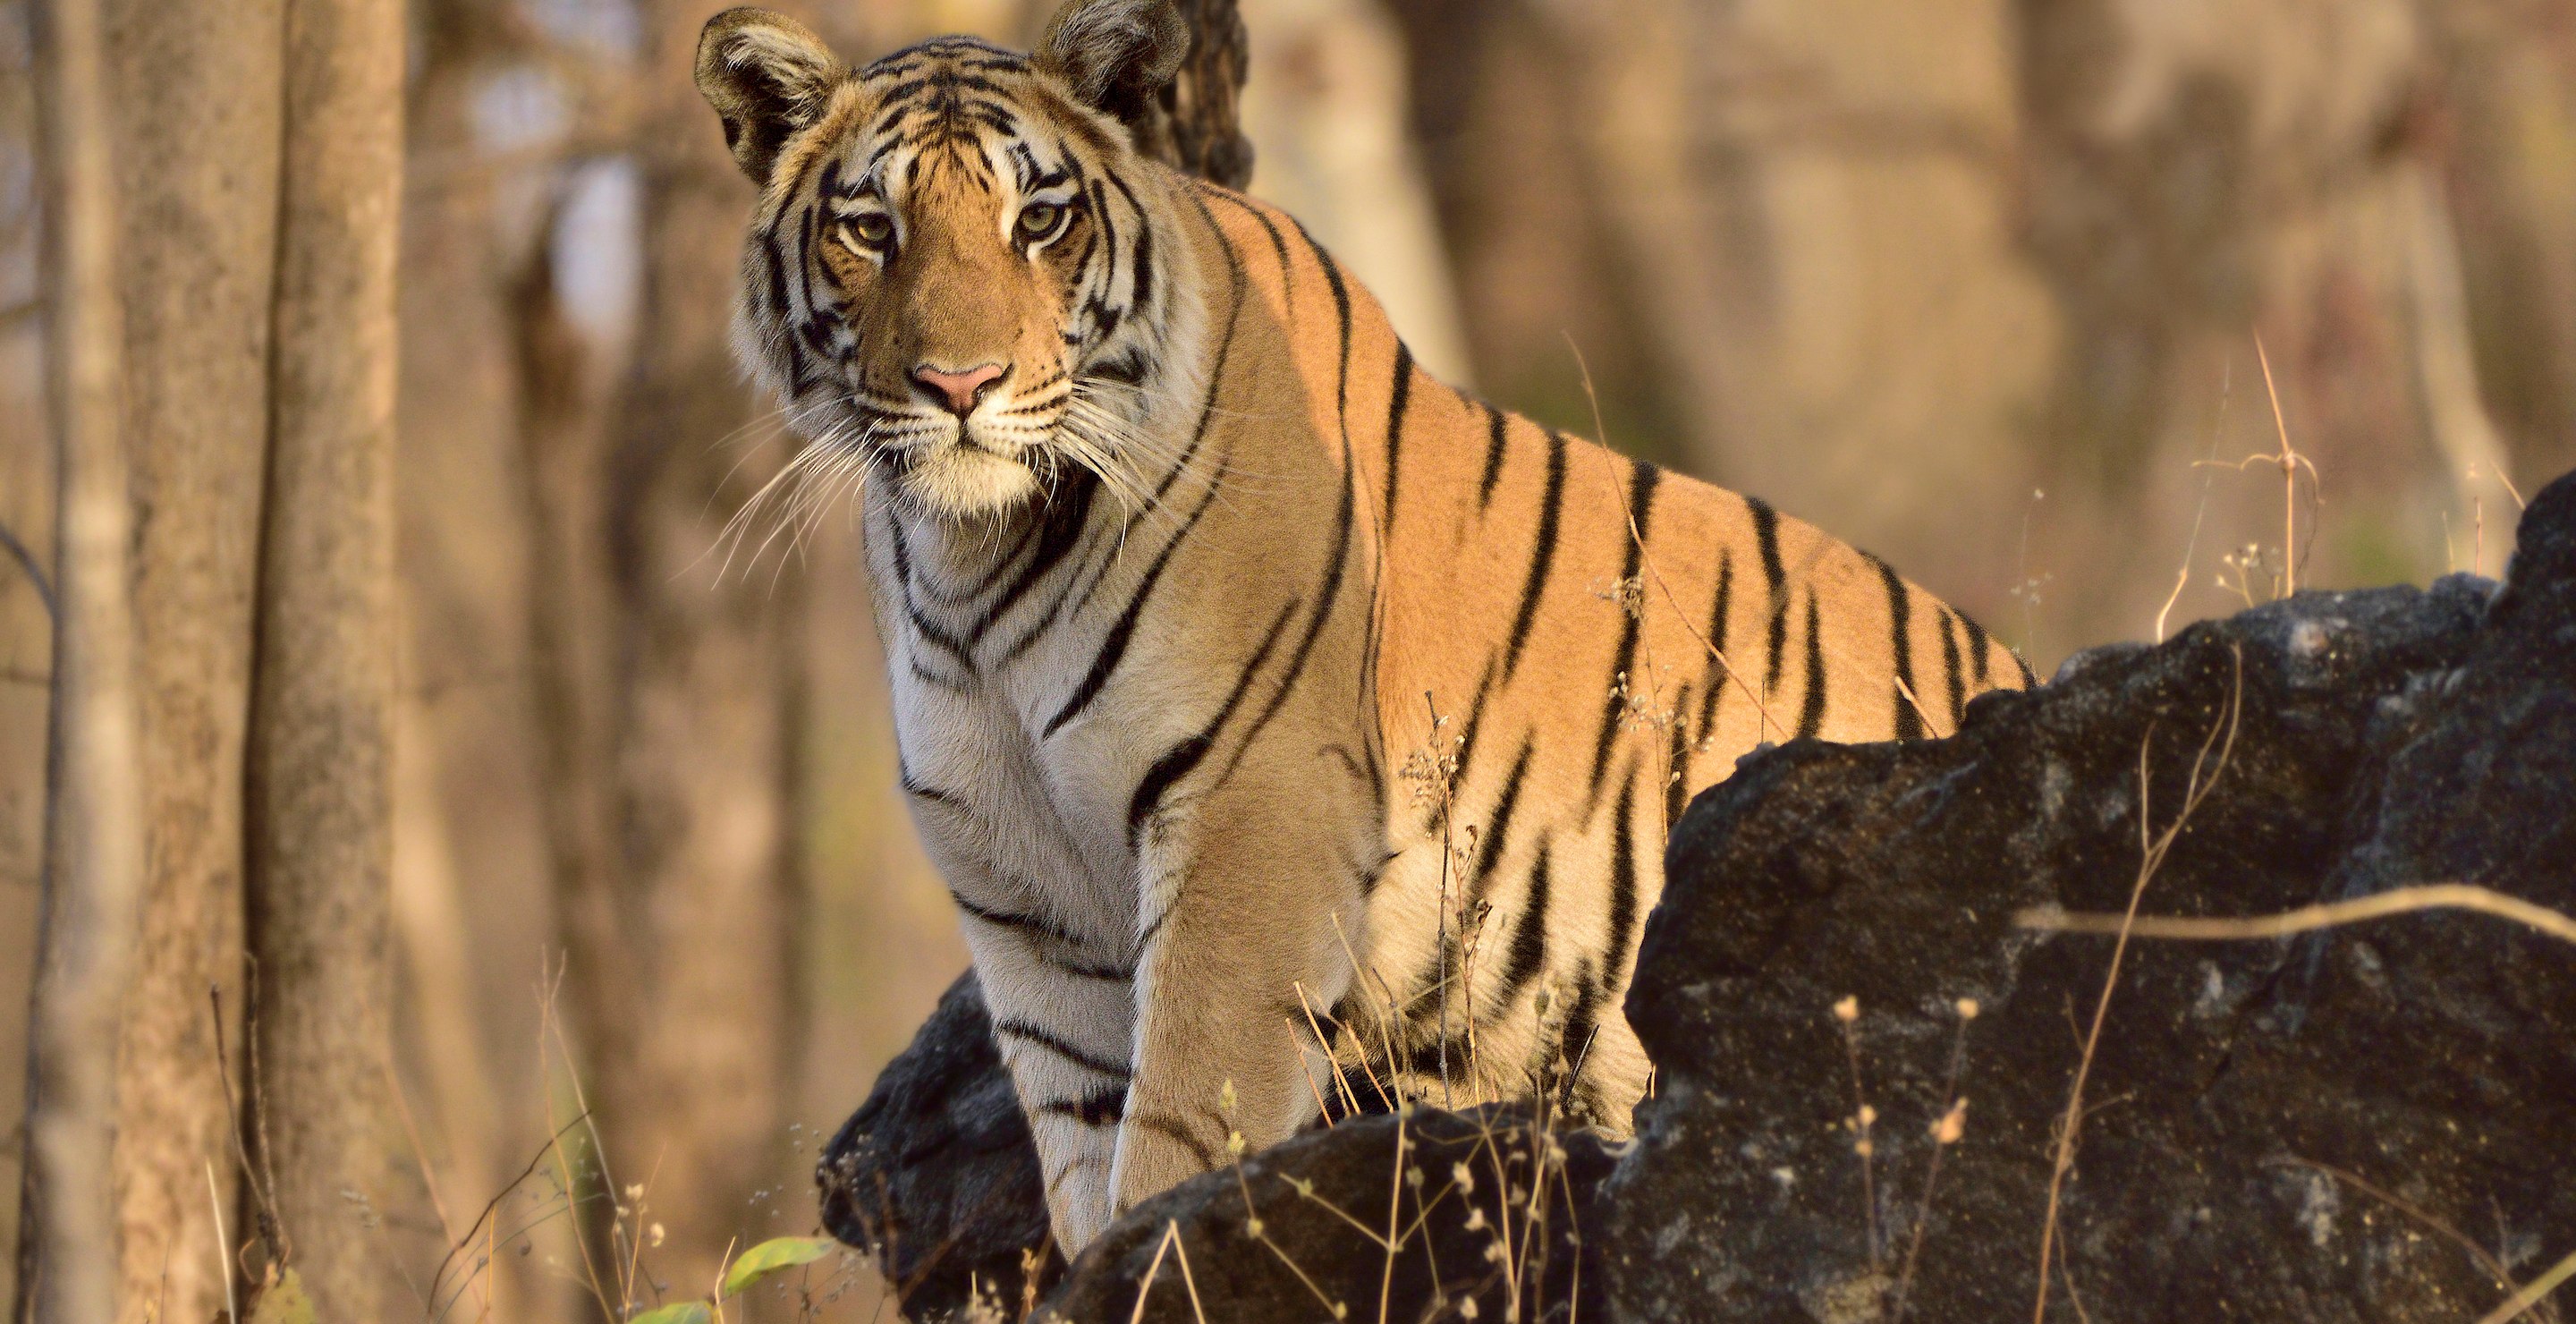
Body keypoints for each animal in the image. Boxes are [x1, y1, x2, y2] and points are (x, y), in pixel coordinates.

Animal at [695, 0, 2033, 1253]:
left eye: (1040, 221)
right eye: (871, 228)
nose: (961, 386)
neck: (973, 564)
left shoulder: (1253, 818)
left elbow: (1175, 1136)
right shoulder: (1030, 905)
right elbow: (1086, 1161)